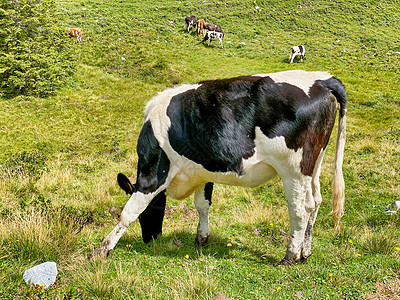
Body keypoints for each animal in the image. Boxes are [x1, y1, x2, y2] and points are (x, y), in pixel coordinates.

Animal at [93, 69, 346, 264]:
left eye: (154, 210)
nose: (150, 238)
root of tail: (322, 79)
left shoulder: (153, 174)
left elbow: (129, 212)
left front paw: (102, 249)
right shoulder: (202, 173)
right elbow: (202, 205)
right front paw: (201, 238)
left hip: (293, 170)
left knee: (300, 210)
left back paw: (290, 256)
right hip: (314, 164)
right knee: (315, 203)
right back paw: (305, 252)